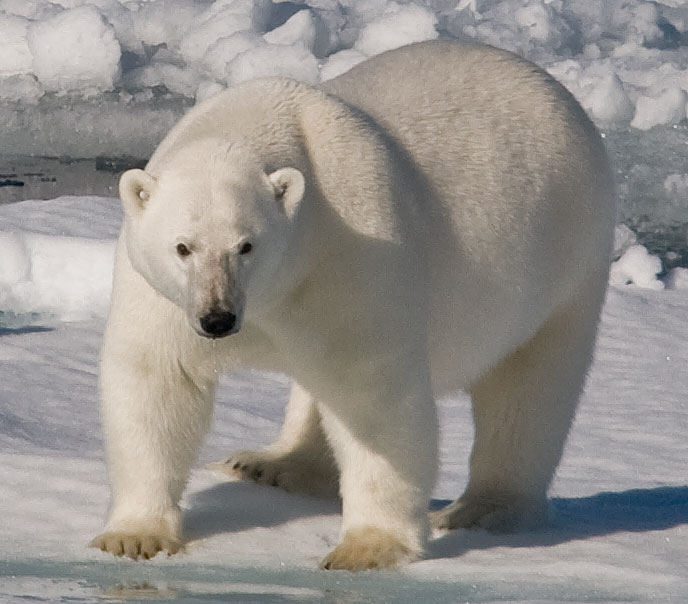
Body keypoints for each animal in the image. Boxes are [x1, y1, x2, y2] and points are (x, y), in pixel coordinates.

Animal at [91, 40, 612, 568]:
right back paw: (267, 463)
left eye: (246, 246)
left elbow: (369, 394)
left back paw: (485, 508)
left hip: (565, 258)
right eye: (183, 247)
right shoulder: (162, 295)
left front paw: (367, 547)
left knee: (528, 387)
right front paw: (134, 536)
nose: (218, 318)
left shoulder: (349, 257)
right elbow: (157, 380)